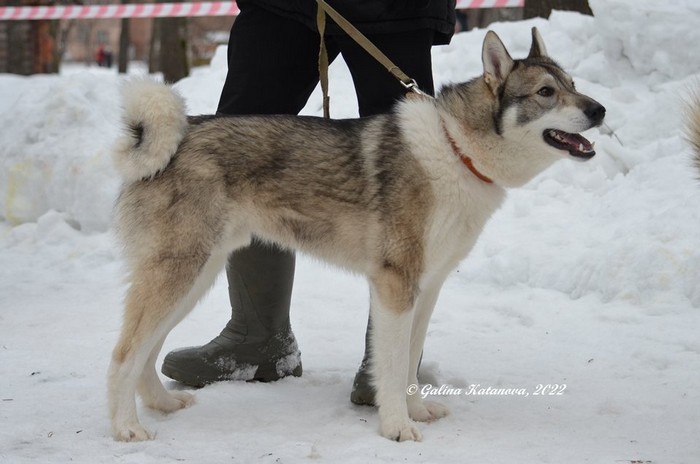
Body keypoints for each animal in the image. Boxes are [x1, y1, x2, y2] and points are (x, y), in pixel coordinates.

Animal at [108, 27, 605, 442]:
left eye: (574, 84)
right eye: (546, 92)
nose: (599, 110)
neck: (457, 149)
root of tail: (175, 134)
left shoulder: (425, 290)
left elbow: (410, 362)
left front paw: (415, 412)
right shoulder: (394, 285)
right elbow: (393, 365)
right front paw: (397, 427)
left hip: (194, 278)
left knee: (146, 352)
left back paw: (162, 403)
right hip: (180, 275)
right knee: (124, 355)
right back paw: (127, 428)